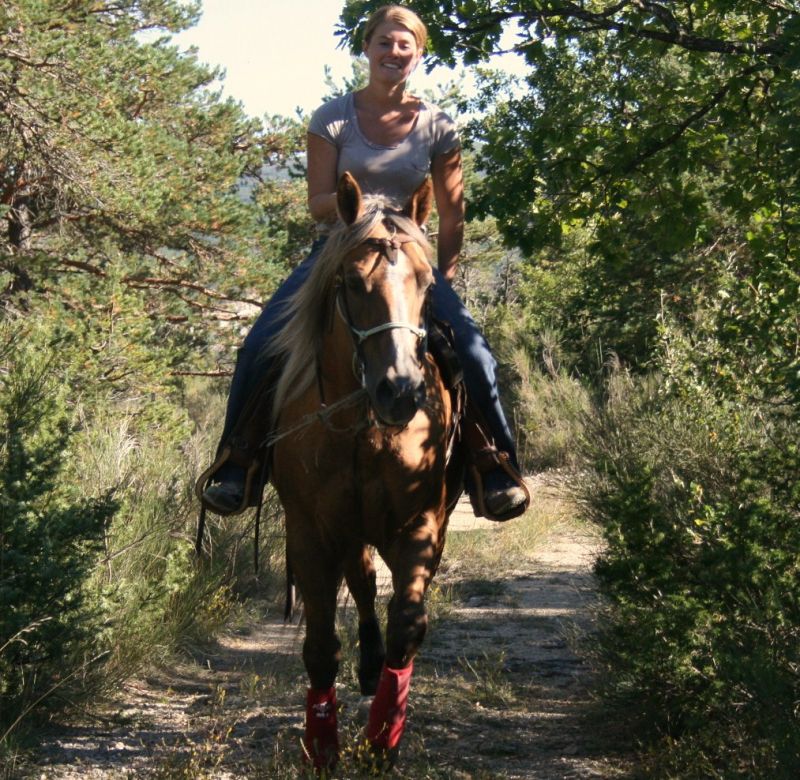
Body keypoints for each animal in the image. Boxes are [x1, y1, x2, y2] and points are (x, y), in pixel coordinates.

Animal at [266, 171, 462, 768]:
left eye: (427, 284)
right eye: (353, 283)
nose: (400, 391)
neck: (362, 427)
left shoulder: (420, 525)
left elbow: (407, 625)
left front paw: (381, 739)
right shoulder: (310, 531)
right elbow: (320, 646)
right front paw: (323, 746)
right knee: (362, 580)